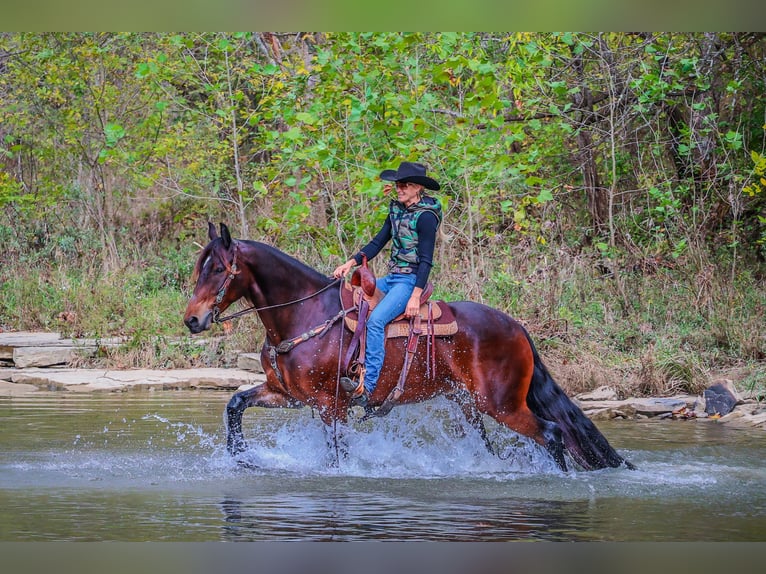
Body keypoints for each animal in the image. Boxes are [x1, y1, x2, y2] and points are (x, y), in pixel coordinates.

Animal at [184, 222, 634, 472]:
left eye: (219, 269)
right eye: (199, 268)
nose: (192, 319)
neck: (303, 314)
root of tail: (518, 328)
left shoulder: (331, 406)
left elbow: (336, 455)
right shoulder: (289, 395)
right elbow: (235, 404)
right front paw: (240, 457)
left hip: (501, 405)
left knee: (553, 434)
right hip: (468, 405)